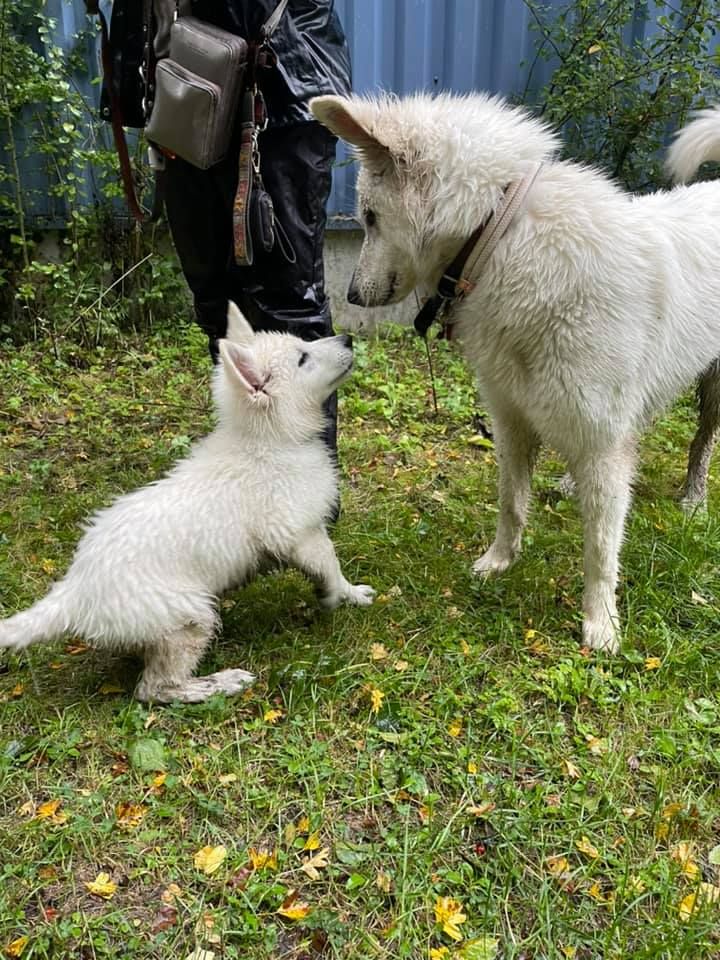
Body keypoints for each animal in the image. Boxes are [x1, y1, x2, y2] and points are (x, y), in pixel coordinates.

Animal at [1, 304, 376, 700]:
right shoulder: (299, 533)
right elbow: (330, 565)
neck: (267, 440)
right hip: (189, 616)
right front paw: (344, 595)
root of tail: (76, 591)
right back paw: (220, 683)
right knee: (155, 688)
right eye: (302, 358)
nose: (348, 338)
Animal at [312, 95, 720, 652]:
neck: (500, 235)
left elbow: (600, 548)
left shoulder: (603, 441)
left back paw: (693, 499)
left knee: (701, 443)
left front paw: (601, 623)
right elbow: (511, 503)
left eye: (371, 218)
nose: (351, 295)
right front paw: (499, 562)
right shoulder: (512, 421)